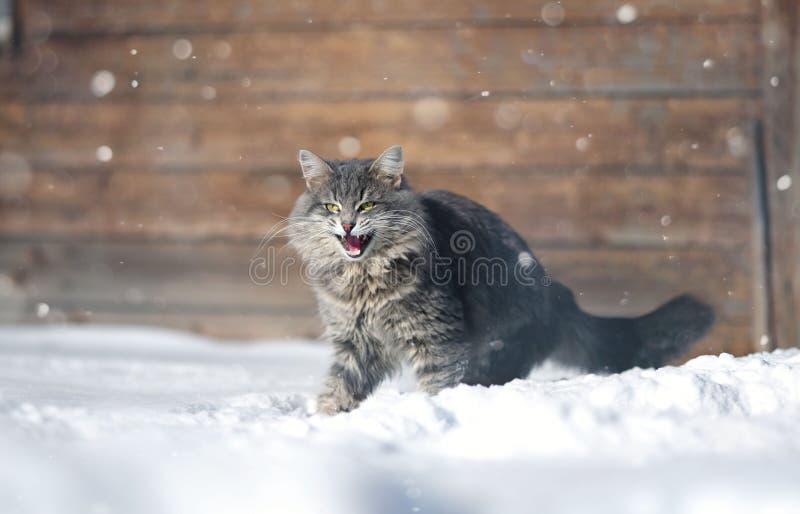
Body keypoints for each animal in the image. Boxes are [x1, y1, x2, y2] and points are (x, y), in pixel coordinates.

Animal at [290, 143, 716, 412]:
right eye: (331, 206)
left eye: (367, 205)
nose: (347, 224)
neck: (362, 282)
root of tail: (558, 295)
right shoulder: (354, 341)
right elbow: (339, 388)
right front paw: (325, 419)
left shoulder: (436, 339)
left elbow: (437, 386)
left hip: (497, 354)